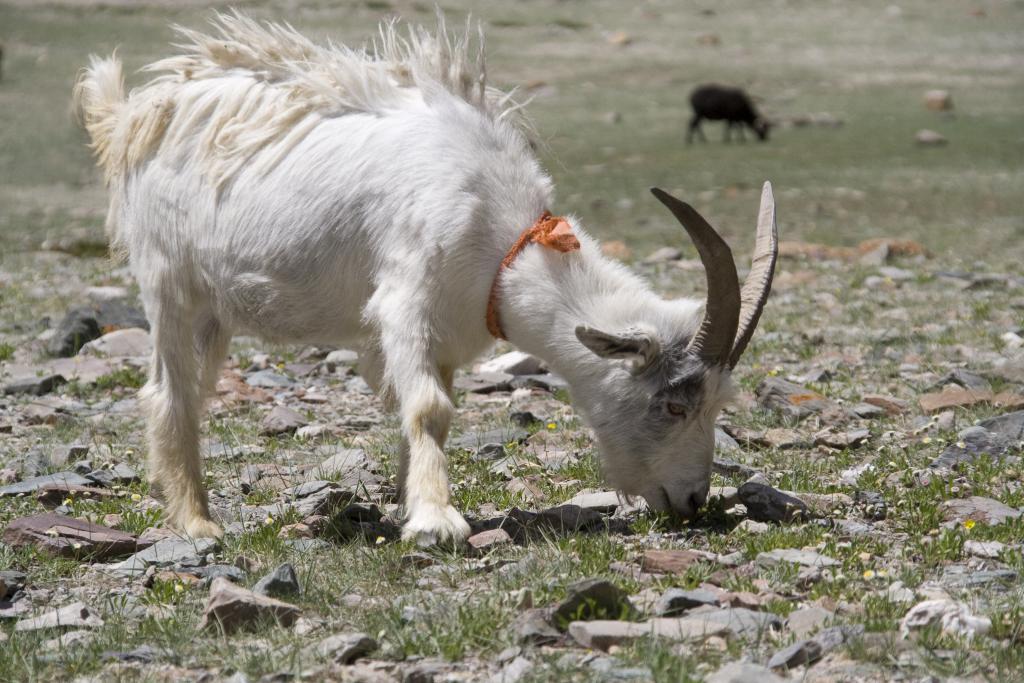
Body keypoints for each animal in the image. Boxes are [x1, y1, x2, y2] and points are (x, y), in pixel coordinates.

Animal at [74, 12, 774, 544]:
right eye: (674, 403)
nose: (692, 501)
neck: (498, 237)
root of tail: (134, 116)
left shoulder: (445, 330)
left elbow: (427, 411)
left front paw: (409, 501)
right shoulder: (404, 300)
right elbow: (431, 408)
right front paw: (437, 521)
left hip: (216, 311)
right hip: (170, 284)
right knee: (169, 395)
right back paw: (197, 525)